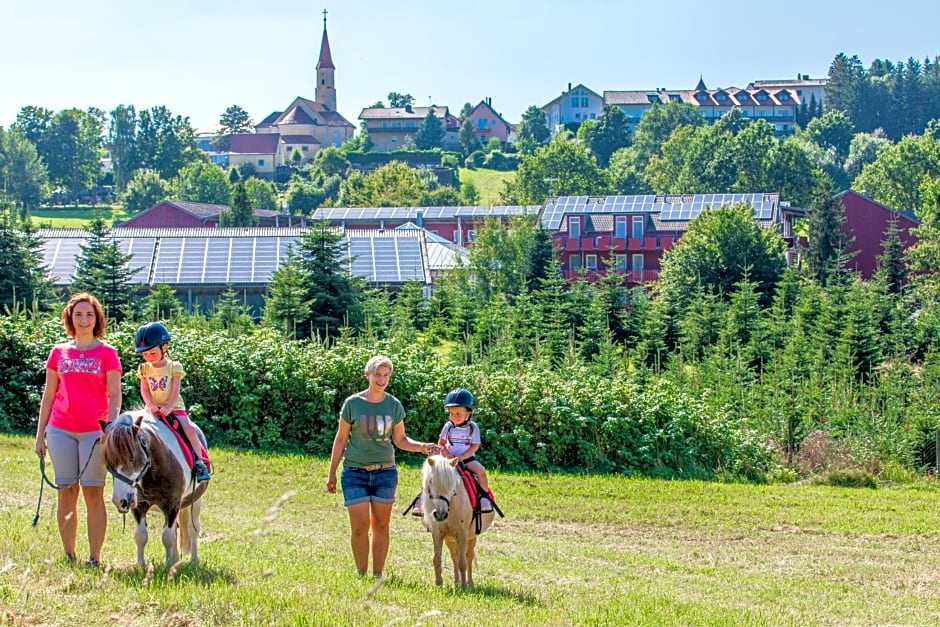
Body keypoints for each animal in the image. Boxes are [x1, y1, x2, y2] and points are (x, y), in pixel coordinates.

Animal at [420, 454, 496, 588]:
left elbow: (463, 562)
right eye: (431, 482)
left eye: (452, 485)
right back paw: (456, 582)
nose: (440, 514)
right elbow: (437, 559)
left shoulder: (462, 534)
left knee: (468, 556)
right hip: (450, 538)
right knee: (454, 556)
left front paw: (464, 586)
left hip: (471, 536)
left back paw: (469, 583)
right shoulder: (437, 533)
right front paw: (439, 583)